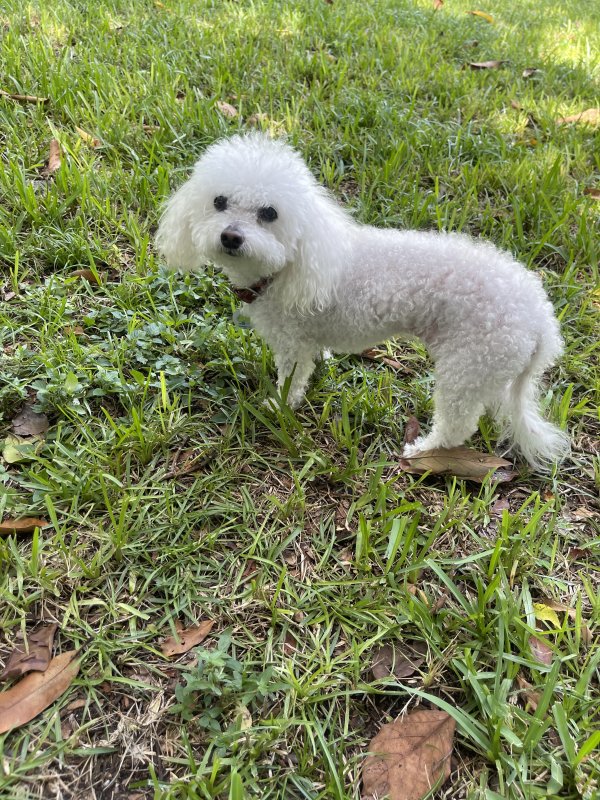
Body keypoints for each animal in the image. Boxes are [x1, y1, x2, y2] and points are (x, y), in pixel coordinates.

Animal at [155, 131, 568, 468]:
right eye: (219, 201)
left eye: (269, 213)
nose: (230, 236)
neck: (295, 262)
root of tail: (540, 318)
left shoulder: (292, 343)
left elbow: (292, 379)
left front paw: (279, 405)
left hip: (468, 366)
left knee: (458, 423)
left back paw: (424, 449)